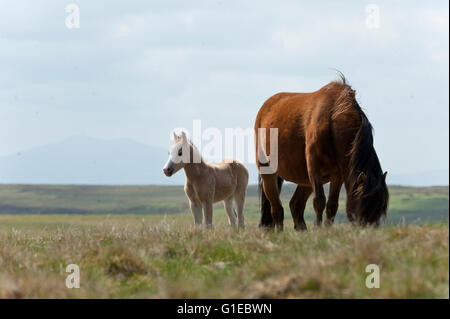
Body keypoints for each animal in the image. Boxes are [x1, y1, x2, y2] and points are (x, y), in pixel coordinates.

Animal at [255, 75, 388, 230]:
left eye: (381, 208)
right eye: (364, 205)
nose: (370, 231)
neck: (332, 118)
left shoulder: (338, 174)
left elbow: (332, 205)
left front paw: (327, 229)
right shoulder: (314, 167)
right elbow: (319, 201)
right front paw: (317, 228)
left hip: (305, 178)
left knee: (295, 205)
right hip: (268, 172)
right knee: (276, 209)